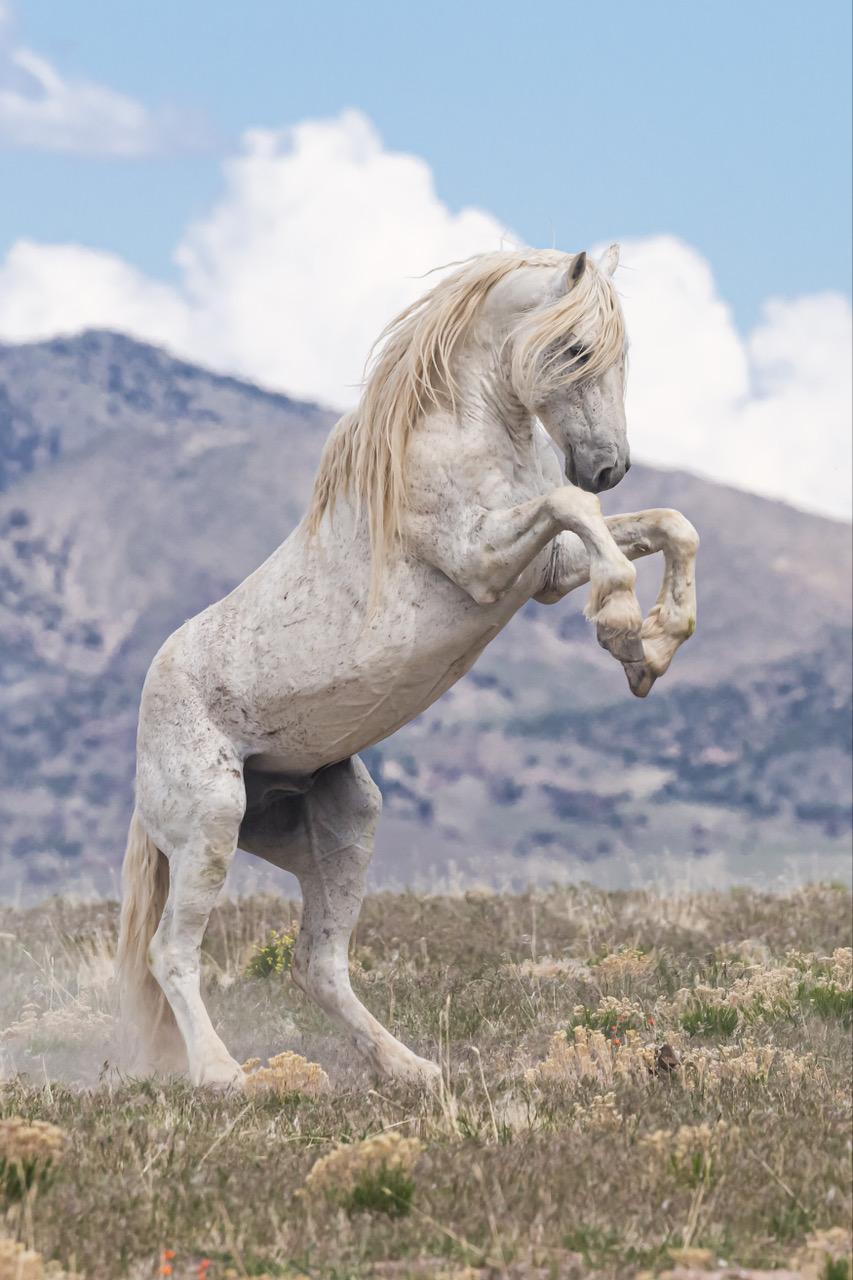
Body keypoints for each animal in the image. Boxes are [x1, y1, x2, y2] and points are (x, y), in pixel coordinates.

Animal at [114, 244, 696, 1085]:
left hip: (341, 829)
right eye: (575, 348)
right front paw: (622, 627)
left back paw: (411, 1070)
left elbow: (667, 526)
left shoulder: (545, 572)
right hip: (210, 828)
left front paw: (653, 646)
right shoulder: (485, 560)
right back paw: (224, 1076)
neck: (467, 433)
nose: (607, 466)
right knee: (173, 953)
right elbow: (576, 512)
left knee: (318, 964)